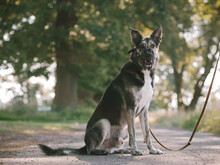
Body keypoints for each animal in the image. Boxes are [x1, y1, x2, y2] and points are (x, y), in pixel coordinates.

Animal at [39, 25, 163, 156]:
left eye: (153, 46)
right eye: (142, 46)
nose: (149, 53)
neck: (143, 71)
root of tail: (85, 145)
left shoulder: (144, 110)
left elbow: (147, 133)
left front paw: (152, 150)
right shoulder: (130, 107)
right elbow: (133, 133)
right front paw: (135, 150)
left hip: (121, 132)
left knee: (112, 148)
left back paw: (121, 150)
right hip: (103, 122)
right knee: (91, 150)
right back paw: (101, 151)